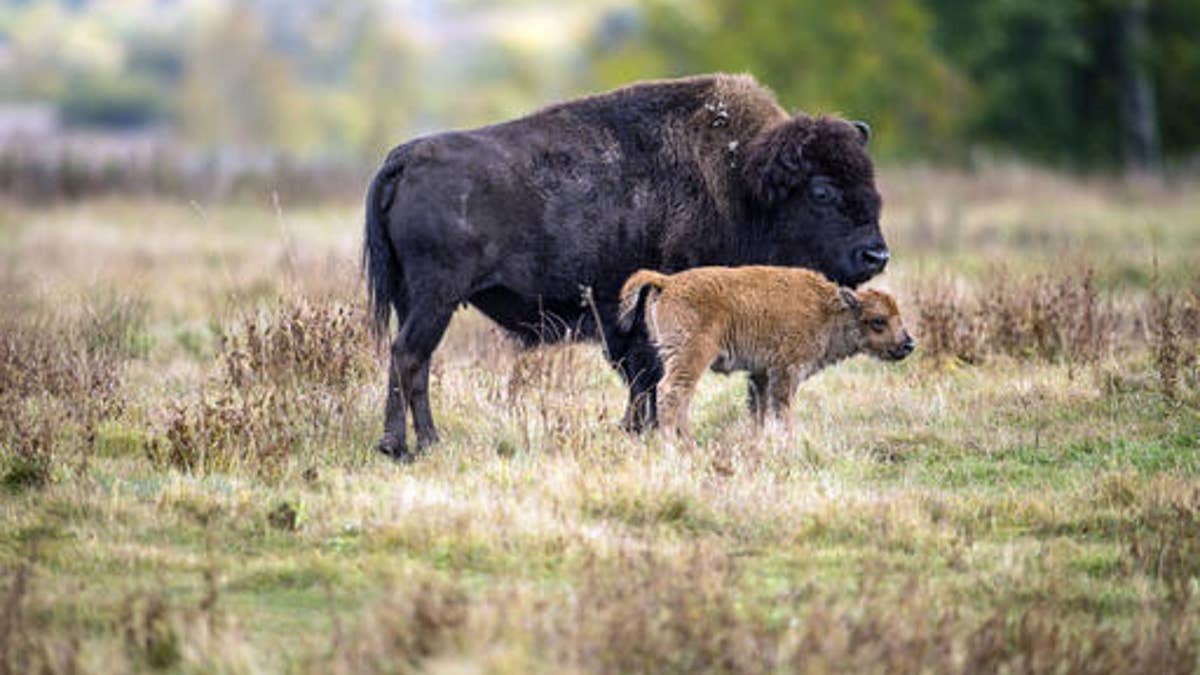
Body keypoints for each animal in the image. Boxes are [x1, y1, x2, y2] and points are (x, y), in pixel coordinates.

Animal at [624, 265, 912, 439]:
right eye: (878, 320)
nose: (908, 344)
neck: (826, 309)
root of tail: (668, 282)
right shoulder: (786, 371)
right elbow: (782, 409)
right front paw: (788, 443)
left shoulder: (760, 374)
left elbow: (758, 411)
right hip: (692, 356)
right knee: (670, 392)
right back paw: (672, 447)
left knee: (683, 398)